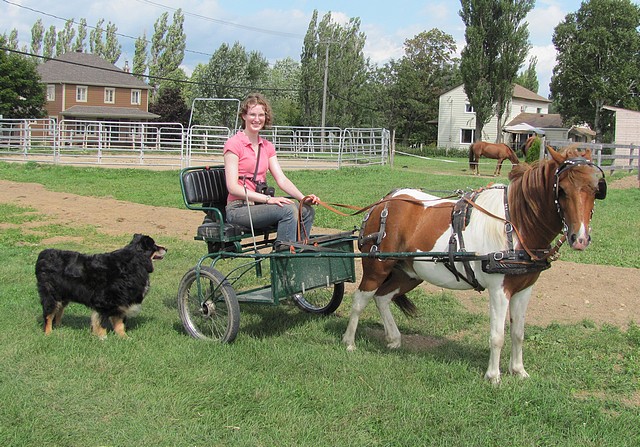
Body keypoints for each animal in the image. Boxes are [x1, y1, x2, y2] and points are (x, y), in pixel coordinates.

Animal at [35, 234, 166, 340]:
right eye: (154, 246)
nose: (166, 248)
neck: (134, 262)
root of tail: (42, 255)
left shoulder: (120, 301)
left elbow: (120, 323)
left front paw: (124, 337)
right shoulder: (104, 302)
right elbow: (101, 322)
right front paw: (103, 337)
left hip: (63, 296)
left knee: (58, 311)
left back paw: (59, 327)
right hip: (51, 295)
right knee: (49, 315)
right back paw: (48, 333)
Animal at [342, 147, 608, 384]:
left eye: (596, 189)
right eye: (561, 190)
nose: (580, 238)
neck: (515, 224)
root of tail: (384, 202)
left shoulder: (524, 289)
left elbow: (518, 333)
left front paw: (518, 370)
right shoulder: (499, 290)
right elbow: (497, 335)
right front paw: (493, 376)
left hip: (409, 273)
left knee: (382, 298)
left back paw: (394, 338)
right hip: (377, 268)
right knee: (360, 300)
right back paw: (349, 341)